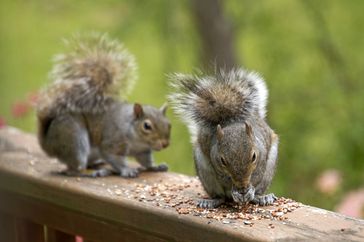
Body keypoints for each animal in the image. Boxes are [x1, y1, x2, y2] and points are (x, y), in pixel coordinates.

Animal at [36, 33, 171, 178]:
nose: (165, 144)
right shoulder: (112, 142)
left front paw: (156, 166)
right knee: (74, 170)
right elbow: (113, 157)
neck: (136, 138)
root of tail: (47, 144)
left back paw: (98, 164)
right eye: (146, 126)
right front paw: (127, 170)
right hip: (74, 138)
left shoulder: (143, 151)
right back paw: (96, 172)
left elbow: (146, 161)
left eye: (169, 124)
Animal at [170, 68, 278, 208]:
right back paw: (212, 201)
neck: (233, 125)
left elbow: (256, 177)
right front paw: (236, 191)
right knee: (221, 197)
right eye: (222, 160)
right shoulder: (217, 163)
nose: (242, 185)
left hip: (268, 170)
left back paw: (261, 197)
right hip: (207, 176)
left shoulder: (261, 161)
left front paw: (249, 190)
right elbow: (225, 180)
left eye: (254, 156)